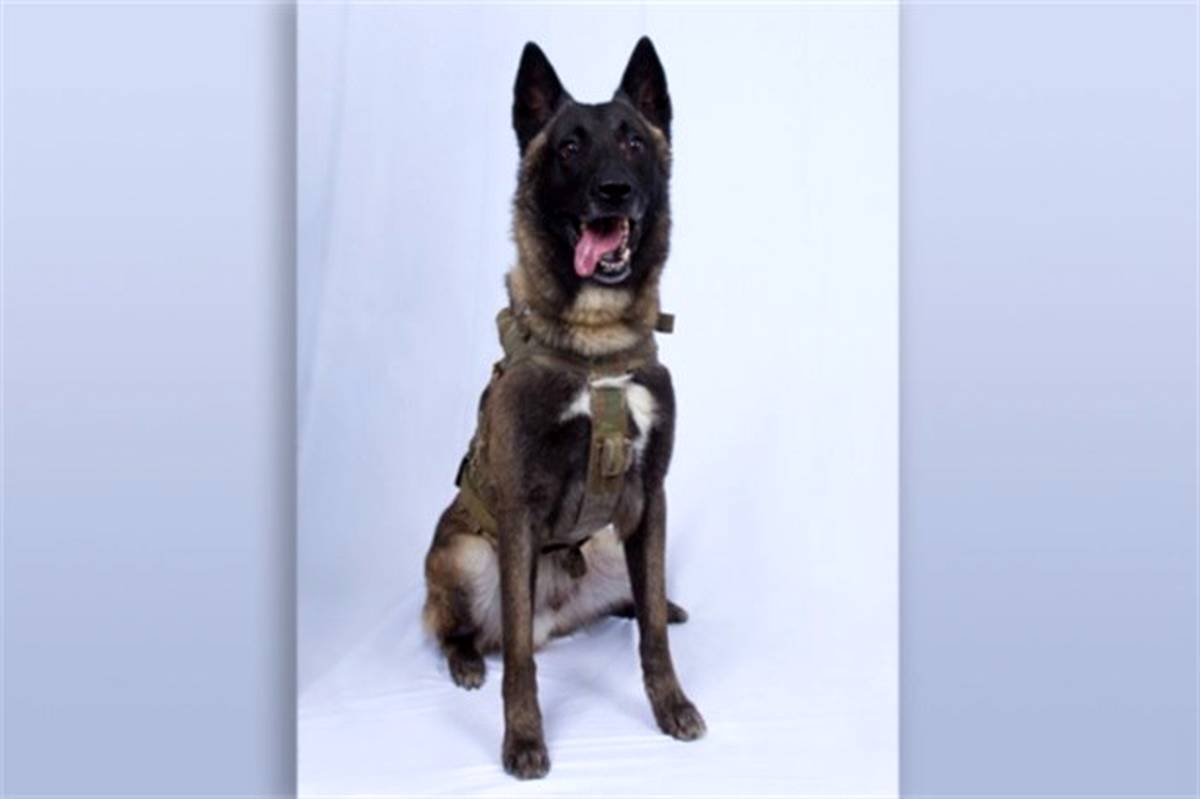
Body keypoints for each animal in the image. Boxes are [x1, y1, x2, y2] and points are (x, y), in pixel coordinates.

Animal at [422, 36, 704, 780]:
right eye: (571, 148)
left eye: (632, 140)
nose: (614, 191)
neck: (596, 345)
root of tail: (560, 615)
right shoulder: (520, 508)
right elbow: (519, 656)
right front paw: (523, 739)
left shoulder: (652, 495)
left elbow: (653, 634)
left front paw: (671, 705)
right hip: (464, 555)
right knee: (462, 628)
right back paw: (467, 660)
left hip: (609, 542)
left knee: (635, 599)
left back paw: (658, 601)